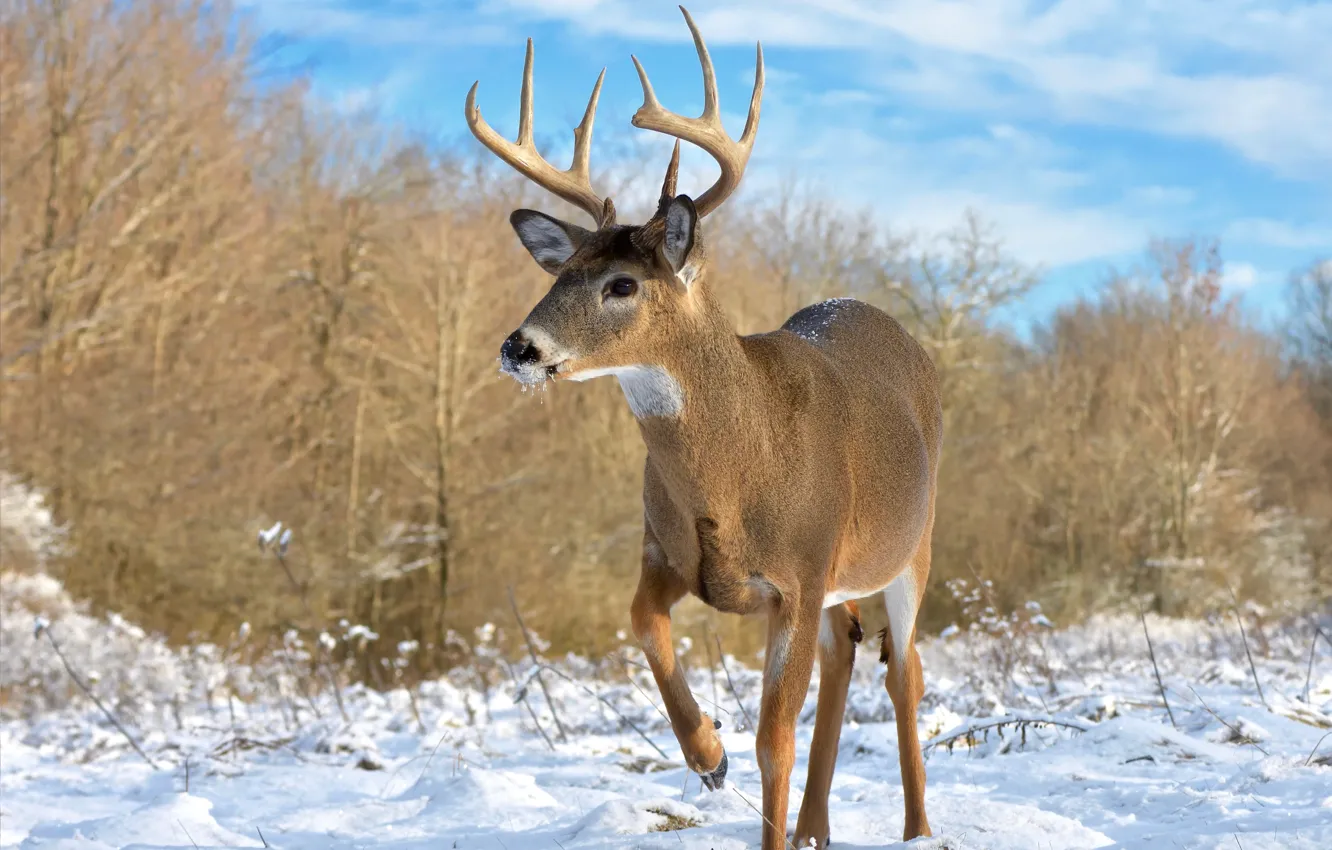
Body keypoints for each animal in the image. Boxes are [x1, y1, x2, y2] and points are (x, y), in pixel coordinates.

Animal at [465, 7, 941, 848]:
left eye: (622, 284)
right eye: (560, 274)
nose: (519, 348)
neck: (736, 474)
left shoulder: (797, 576)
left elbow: (774, 740)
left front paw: (749, 797)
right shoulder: (667, 550)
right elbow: (641, 623)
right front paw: (707, 756)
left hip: (912, 548)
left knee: (904, 670)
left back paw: (915, 828)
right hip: (842, 581)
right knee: (847, 652)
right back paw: (815, 827)